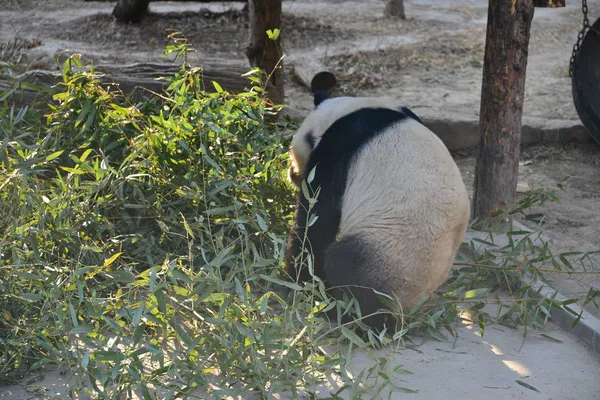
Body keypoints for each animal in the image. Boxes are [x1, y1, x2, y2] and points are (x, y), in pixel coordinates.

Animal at [284, 91, 472, 332]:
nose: (292, 174)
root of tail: (409, 309)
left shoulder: (341, 146)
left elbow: (317, 216)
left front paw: (299, 280)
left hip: (387, 256)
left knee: (347, 267)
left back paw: (344, 310)